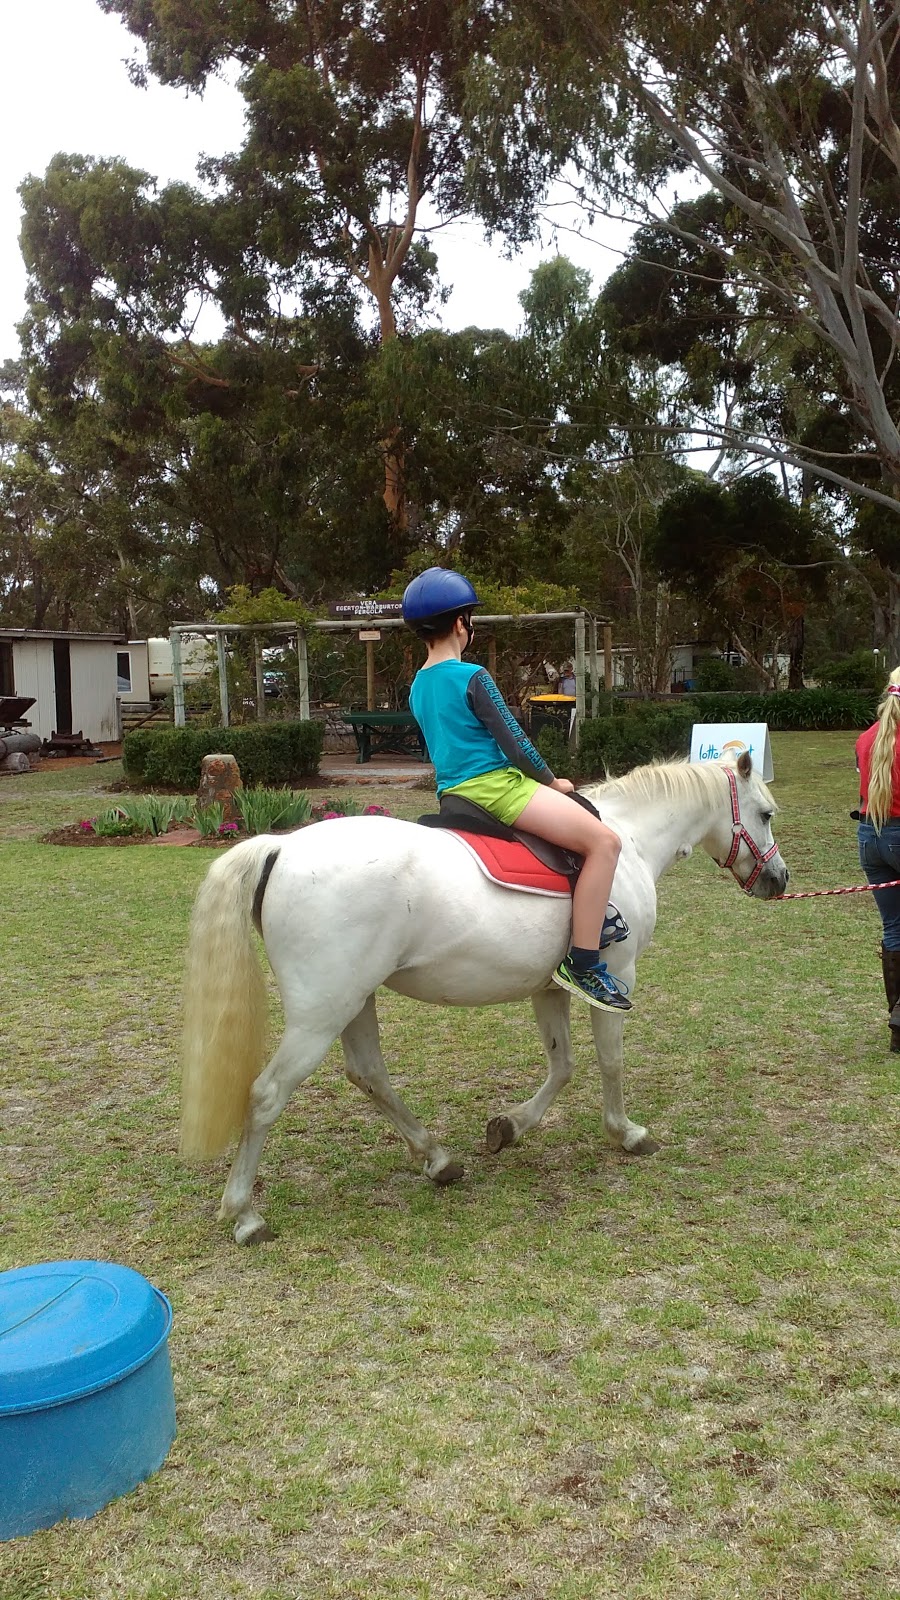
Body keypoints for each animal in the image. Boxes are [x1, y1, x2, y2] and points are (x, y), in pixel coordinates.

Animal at [182, 742, 784, 1241]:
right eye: (766, 813)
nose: (779, 880)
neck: (629, 836)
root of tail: (279, 847)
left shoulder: (548, 988)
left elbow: (562, 1065)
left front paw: (509, 1127)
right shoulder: (618, 977)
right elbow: (609, 1061)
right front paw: (626, 1133)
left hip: (353, 1000)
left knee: (369, 1074)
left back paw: (437, 1159)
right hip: (320, 1014)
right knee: (267, 1095)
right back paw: (245, 1214)